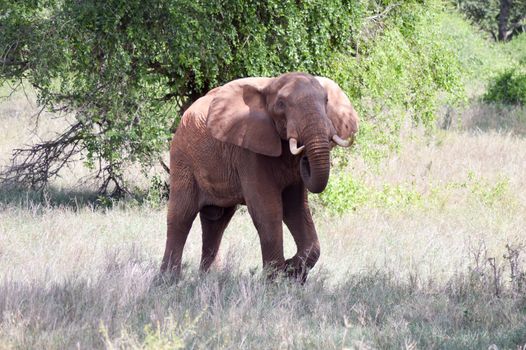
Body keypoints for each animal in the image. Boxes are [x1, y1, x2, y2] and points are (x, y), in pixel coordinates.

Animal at [161, 72, 358, 282]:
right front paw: (275, 280)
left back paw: (209, 279)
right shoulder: (249, 149)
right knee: (181, 216)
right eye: (281, 104)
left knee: (216, 221)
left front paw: (292, 273)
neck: (270, 85)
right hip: (182, 158)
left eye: (326, 100)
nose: (304, 156)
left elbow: (296, 209)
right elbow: (268, 210)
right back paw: (168, 280)